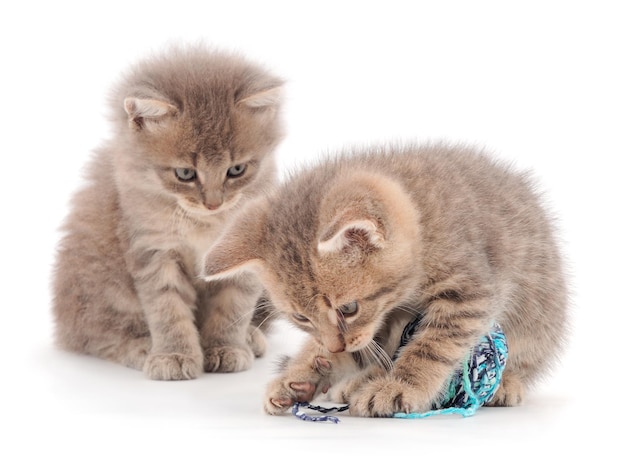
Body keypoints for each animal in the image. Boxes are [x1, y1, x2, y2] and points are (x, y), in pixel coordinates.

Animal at [52, 44, 282, 380]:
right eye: (185, 174)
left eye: (236, 170)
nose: (213, 203)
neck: (205, 223)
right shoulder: (153, 250)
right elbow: (167, 309)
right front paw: (174, 355)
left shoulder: (243, 250)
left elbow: (233, 308)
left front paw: (226, 347)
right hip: (100, 289)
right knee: (98, 335)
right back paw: (142, 347)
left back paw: (251, 338)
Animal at [202, 144, 568, 416]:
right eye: (301, 318)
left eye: (348, 308)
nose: (334, 346)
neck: (422, 221)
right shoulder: (378, 322)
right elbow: (363, 347)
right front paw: (304, 372)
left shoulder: (469, 290)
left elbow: (432, 346)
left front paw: (399, 385)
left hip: (539, 319)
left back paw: (505, 384)